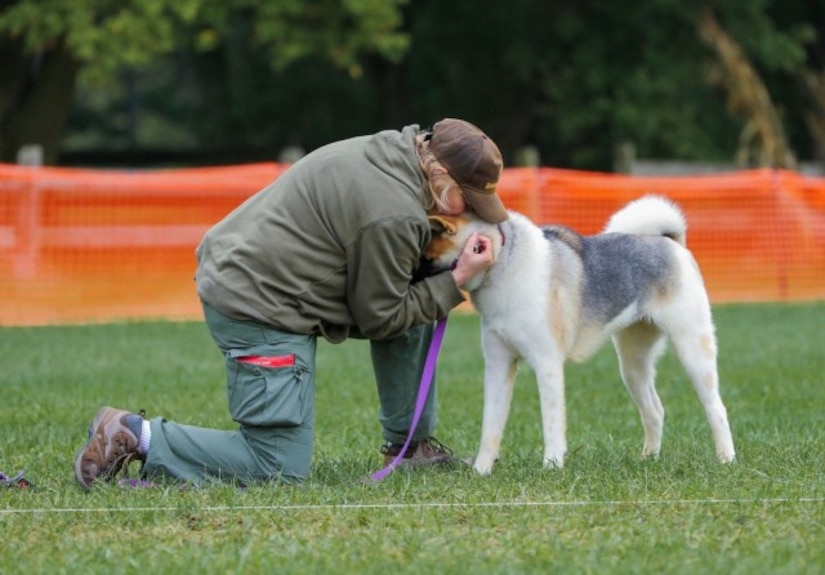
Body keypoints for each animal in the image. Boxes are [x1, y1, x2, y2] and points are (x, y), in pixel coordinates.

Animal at [424, 196, 732, 474]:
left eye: (426, 258)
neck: (501, 260)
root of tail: (671, 243)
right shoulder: (498, 366)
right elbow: (491, 425)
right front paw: (481, 470)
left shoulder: (547, 365)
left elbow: (551, 422)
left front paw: (551, 466)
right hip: (633, 365)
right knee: (655, 412)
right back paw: (649, 460)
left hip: (694, 352)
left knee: (717, 409)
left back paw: (726, 460)